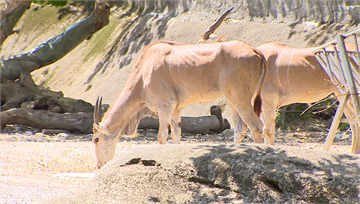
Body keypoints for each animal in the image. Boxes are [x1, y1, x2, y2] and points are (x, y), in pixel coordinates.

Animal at [93, 39, 268, 167]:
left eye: (96, 139)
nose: (100, 165)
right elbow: (176, 135)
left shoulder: (165, 106)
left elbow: (162, 135)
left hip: (240, 99)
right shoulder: (175, 111)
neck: (143, 74)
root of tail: (255, 50)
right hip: (233, 100)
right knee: (240, 129)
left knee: (257, 126)